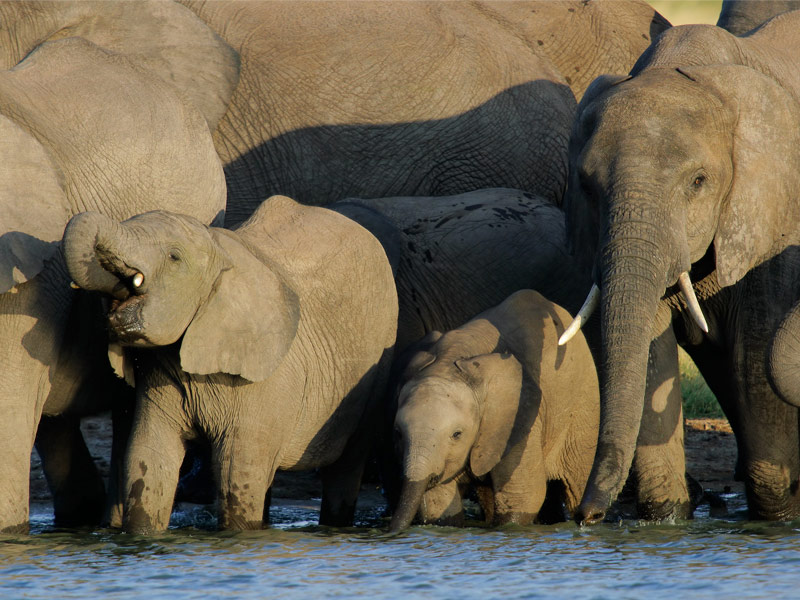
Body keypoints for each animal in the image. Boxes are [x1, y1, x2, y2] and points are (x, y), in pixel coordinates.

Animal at [62, 197, 400, 536]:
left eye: (174, 257)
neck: (220, 253)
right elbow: (148, 460)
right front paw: (142, 537)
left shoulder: (265, 379)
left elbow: (236, 474)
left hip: (379, 362)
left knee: (346, 464)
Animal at [388, 290, 600, 528]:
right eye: (397, 434)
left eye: (457, 434)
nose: (391, 531)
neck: (449, 361)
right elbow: (438, 503)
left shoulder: (520, 418)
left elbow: (523, 496)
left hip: (584, 405)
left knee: (576, 483)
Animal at [560, 10, 800, 524]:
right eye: (586, 186)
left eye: (698, 182)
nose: (585, 516)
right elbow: (651, 343)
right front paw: (664, 519)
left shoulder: (775, 212)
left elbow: (755, 353)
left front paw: (778, 516)